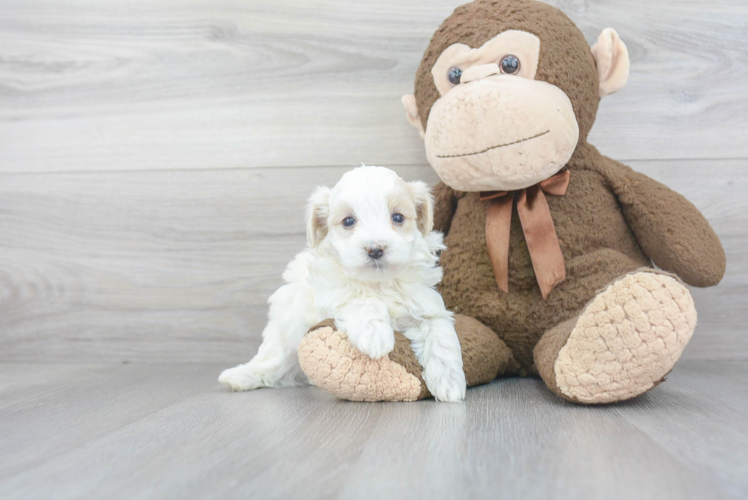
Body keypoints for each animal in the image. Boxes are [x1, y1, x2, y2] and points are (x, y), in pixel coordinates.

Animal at [216, 166, 464, 400]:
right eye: (348, 221)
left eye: (397, 217)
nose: (375, 249)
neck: (379, 284)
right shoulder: (330, 294)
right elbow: (361, 300)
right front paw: (375, 335)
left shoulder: (425, 304)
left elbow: (441, 334)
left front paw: (449, 382)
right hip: (287, 330)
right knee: (273, 363)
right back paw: (240, 376)